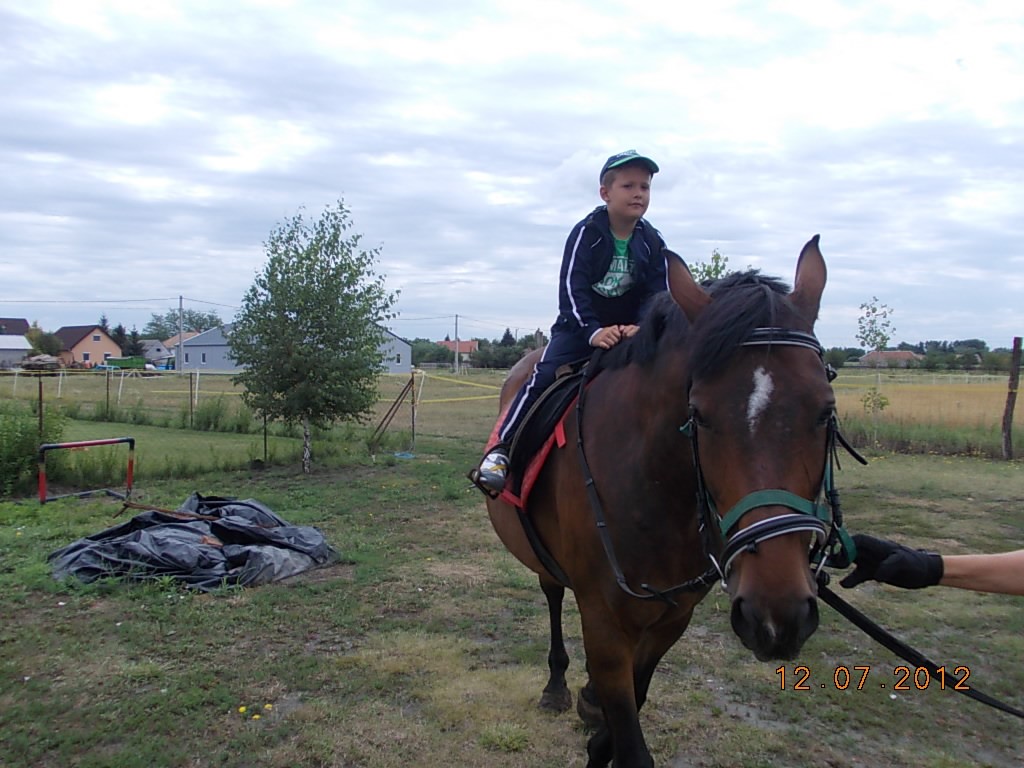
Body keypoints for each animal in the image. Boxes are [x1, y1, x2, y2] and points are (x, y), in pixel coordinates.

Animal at [485, 236, 844, 767]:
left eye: (825, 410)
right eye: (699, 413)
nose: (776, 614)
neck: (655, 495)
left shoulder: (672, 620)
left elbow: (627, 710)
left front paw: (598, 728)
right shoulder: (604, 624)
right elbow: (631, 744)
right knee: (552, 592)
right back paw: (557, 685)